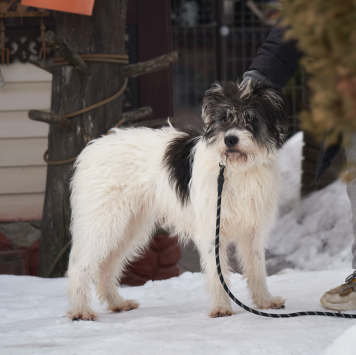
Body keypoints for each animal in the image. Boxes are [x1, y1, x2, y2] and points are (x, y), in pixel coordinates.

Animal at [66, 79, 290, 322]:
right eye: (224, 118)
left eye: (250, 118)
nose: (230, 139)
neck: (238, 169)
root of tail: (91, 149)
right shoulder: (211, 228)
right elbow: (216, 272)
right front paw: (221, 307)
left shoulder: (253, 230)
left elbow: (256, 267)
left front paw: (265, 302)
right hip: (104, 222)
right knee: (80, 265)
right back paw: (80, 310)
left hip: (128, 227)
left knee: (106, 267)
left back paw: (117, 303)